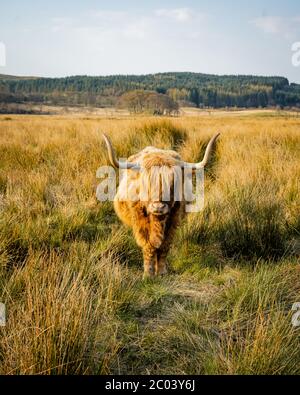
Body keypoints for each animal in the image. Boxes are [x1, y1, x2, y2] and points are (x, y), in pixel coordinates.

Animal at [102, 133, 219, 278]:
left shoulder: (173, 221)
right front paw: (148, 273)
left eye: (173, 183)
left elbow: (164, 246)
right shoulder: (140, 222)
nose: (158, 207)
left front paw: (162, 271)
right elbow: (148, 246)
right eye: (147, 183)